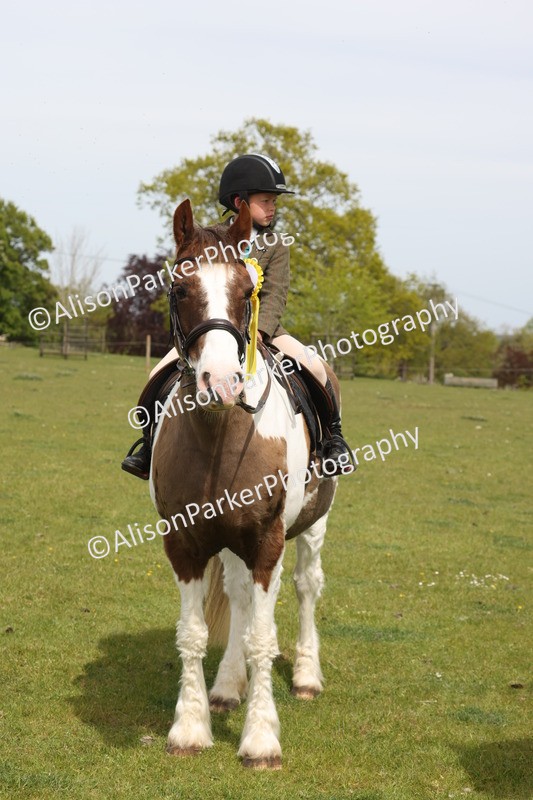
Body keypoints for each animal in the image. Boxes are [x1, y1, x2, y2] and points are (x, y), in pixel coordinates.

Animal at [150, 198, 340, 769]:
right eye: (179, 289)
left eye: (246, 290)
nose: (221, 384)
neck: (219, 437)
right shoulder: (184, 543)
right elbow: (193, 634)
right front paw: (190, 728)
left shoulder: (266, 541)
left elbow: (261, 637)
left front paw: (260, 740)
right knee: (238, 598)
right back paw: (226, 687)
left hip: (311, 528)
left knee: (304, 588)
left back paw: (305, 676)